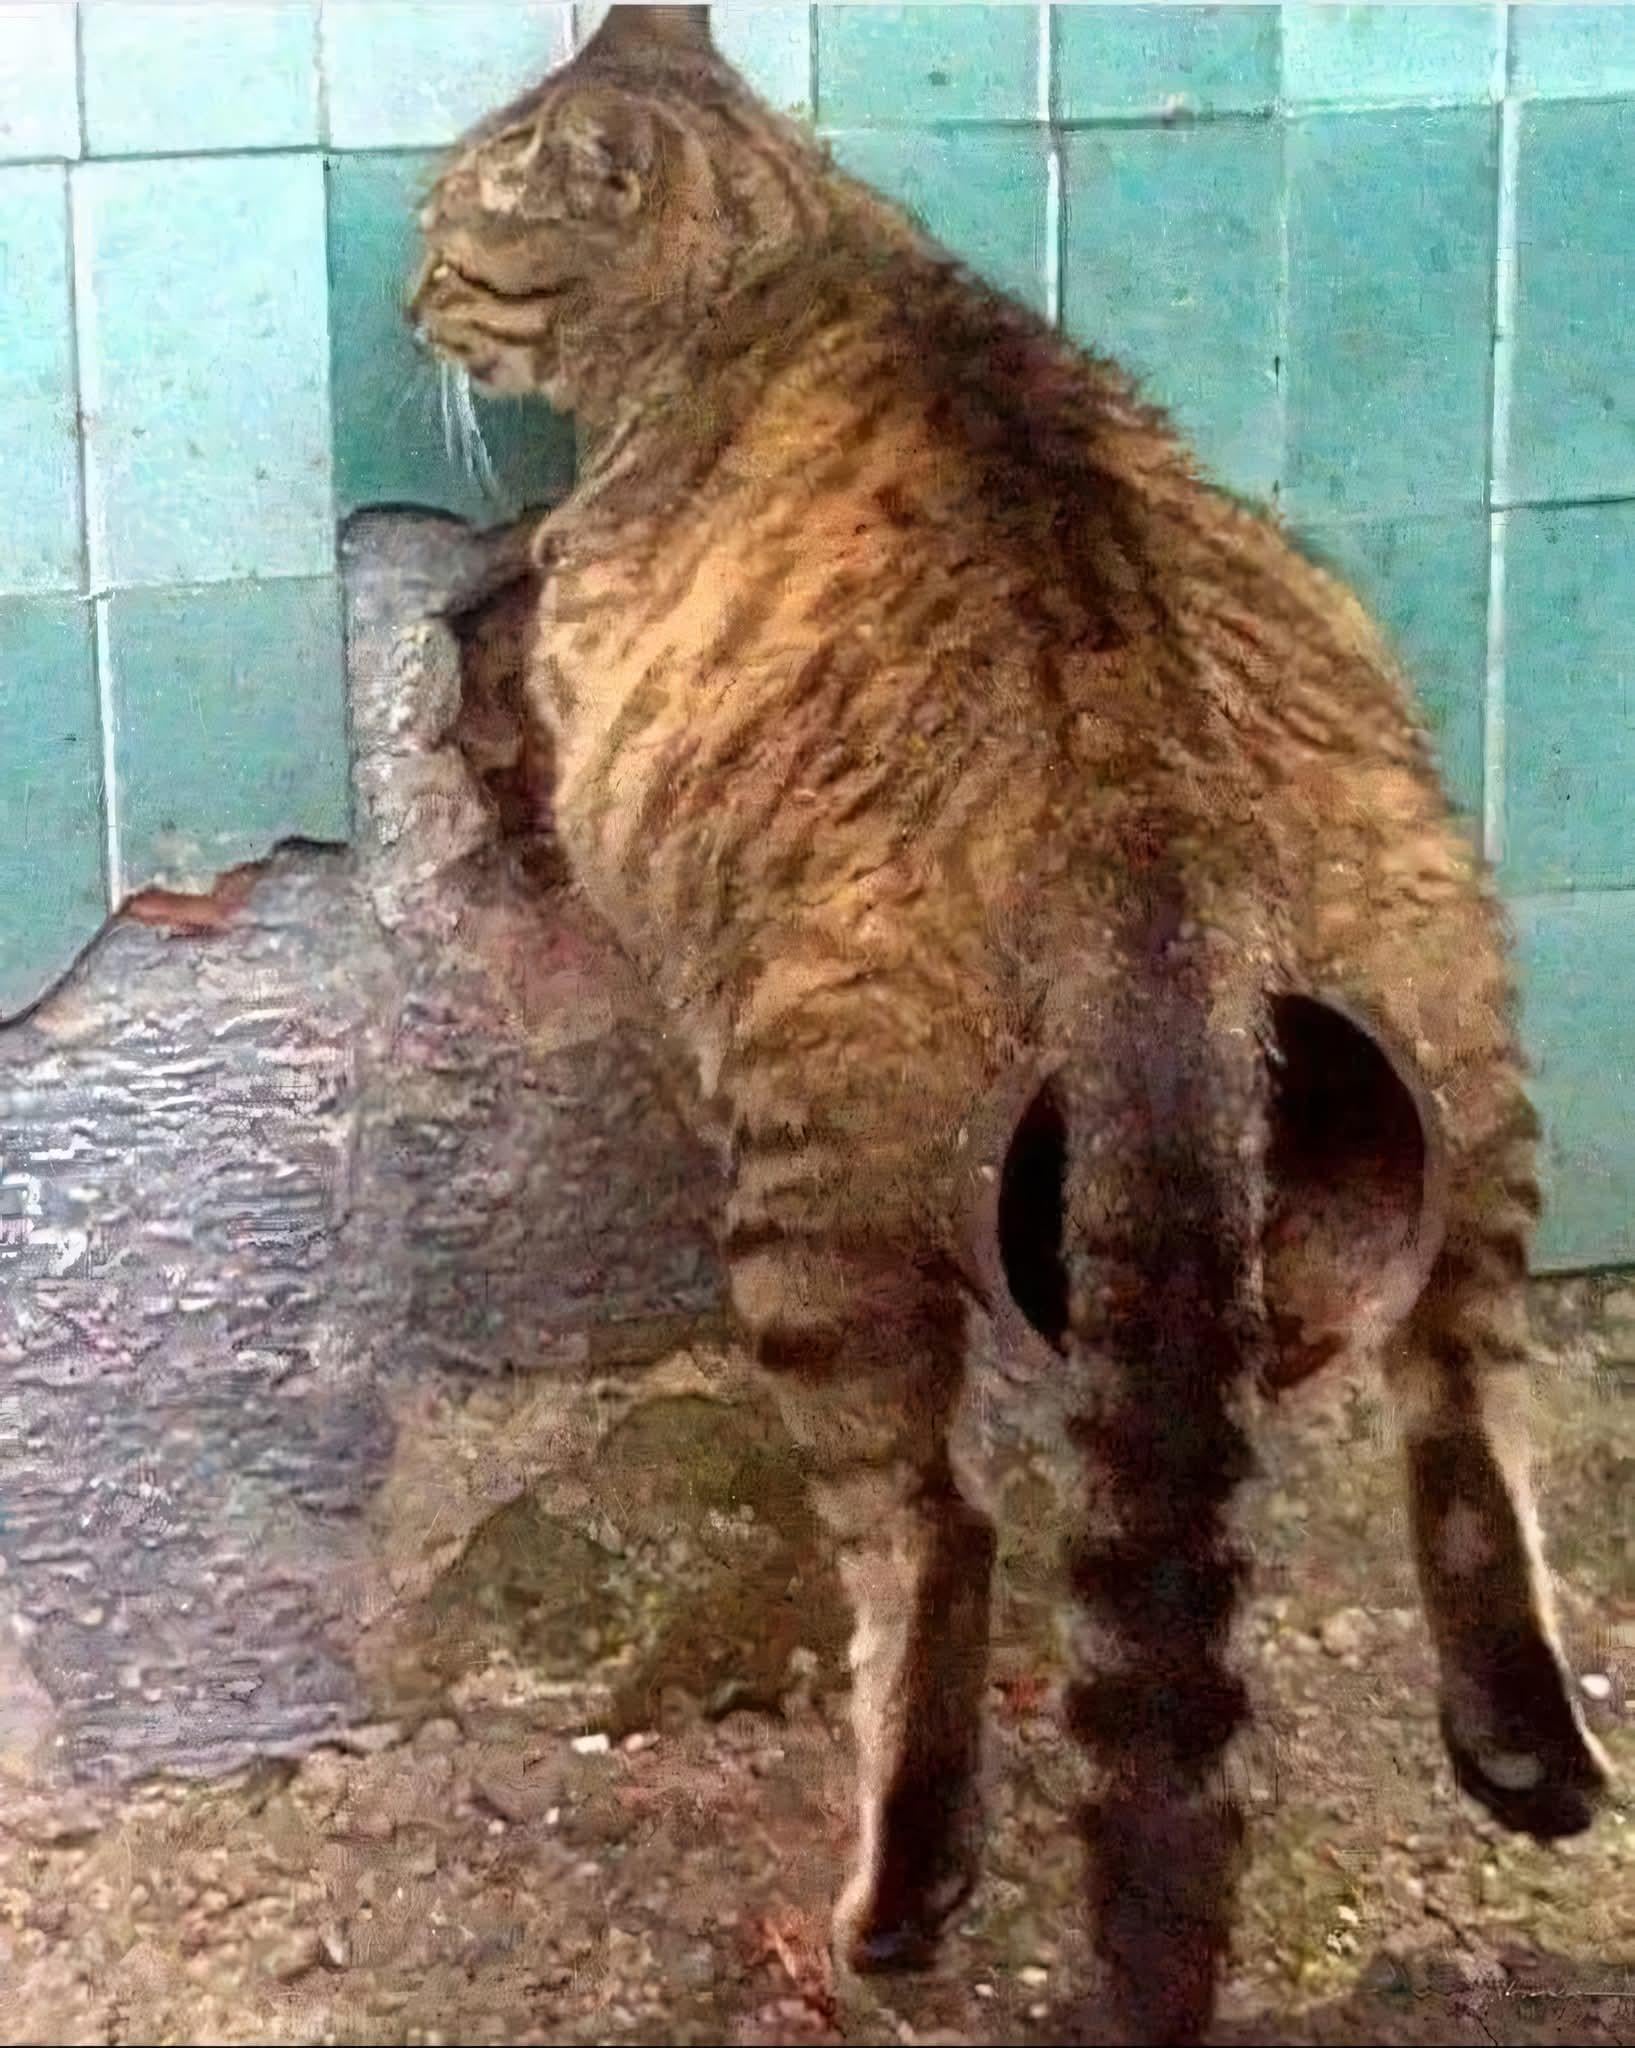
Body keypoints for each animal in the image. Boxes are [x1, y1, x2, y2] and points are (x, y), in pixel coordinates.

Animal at [410, 8, 1610, 2039]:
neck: (788, 247)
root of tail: (1157, 861)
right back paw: (1523, 1747)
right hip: (1464, 1048)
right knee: (1462, 1401)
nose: (408, 290)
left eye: (449, 227)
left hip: (813, 1197)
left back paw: (899, 1891)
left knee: (934, 1529)